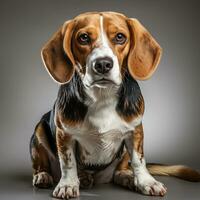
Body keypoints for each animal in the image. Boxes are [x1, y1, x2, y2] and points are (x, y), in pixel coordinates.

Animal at [29, 11, 200, 199]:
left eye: (120, 37)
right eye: (83, 38)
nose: (103, 64)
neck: (102, 96)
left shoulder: (135, 130)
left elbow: (139, 160)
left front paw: (146, 182)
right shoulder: (64, 134)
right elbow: (68, 162)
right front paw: (68, 185)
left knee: (119, 172)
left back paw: (126, 178)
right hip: (39, 131)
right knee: (42, 164)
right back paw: (47, 176)